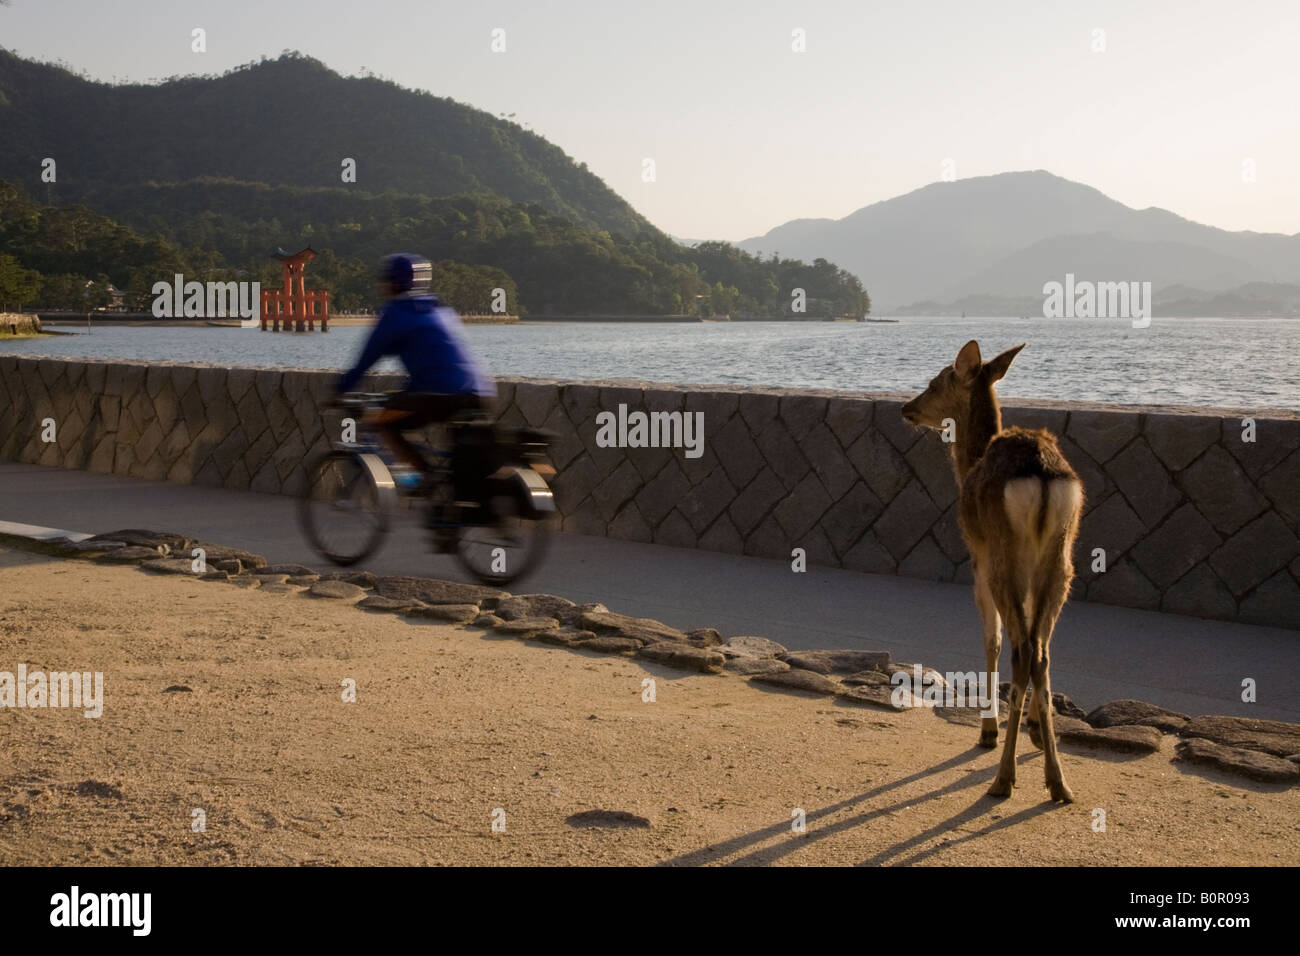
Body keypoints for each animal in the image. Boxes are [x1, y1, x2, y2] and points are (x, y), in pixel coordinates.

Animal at [899, 340, 1081, 806]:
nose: (907, 407)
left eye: (936, 381)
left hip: (1003, 556)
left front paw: (987, 730)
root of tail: (1042, 475)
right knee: (1040, 650)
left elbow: (991, 639)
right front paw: (1034, 729)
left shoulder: (976, 559)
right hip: (1062, 560)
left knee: (1020, 648)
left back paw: (1004, 776)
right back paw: (1057, 780)